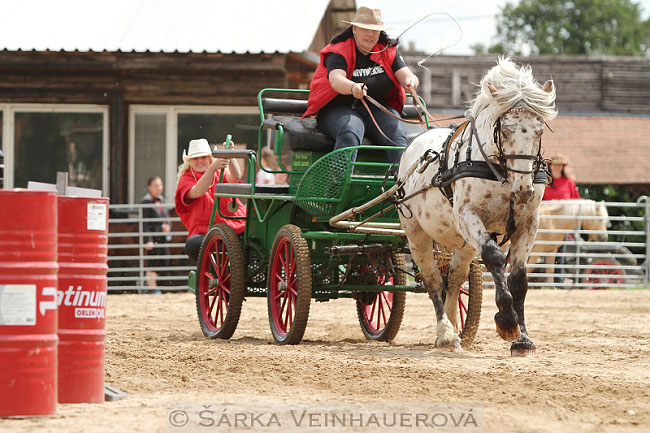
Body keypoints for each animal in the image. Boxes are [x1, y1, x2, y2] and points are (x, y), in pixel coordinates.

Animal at [398, 57, 556, 354]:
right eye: (505, 129)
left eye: (539, 130)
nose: (524, 189)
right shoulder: (467, 216)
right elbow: (494, 257)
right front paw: (506, 321)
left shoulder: (529, 224)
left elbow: (518, 279)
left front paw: (523, 338)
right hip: (416, 234)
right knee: (433, 280)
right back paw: (446, 332)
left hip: (464, 244)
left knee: (454, 279)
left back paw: (452, 327)